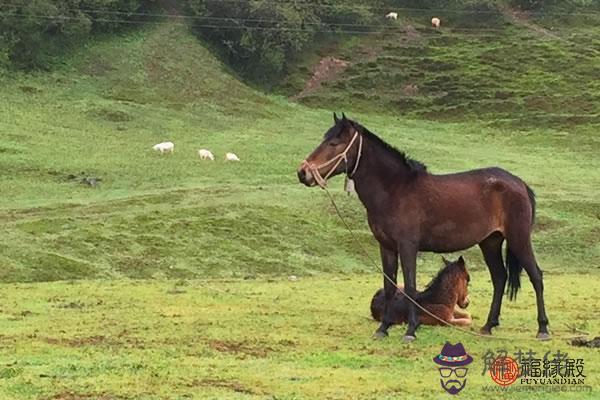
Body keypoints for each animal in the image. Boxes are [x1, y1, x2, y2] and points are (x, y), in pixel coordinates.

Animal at [296, 111, 548, 340]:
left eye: (334, 143)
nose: (303, 172)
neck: (395, 190)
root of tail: (519, 183)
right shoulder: (386, 247)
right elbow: (390, 286)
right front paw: (383, 328)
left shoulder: (408, 246)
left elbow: (409, 286)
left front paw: (411, 330)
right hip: (490, 242)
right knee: (499, 278)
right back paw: (488, 326)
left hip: (518, 238)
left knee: (536, 275)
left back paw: (543, 329)